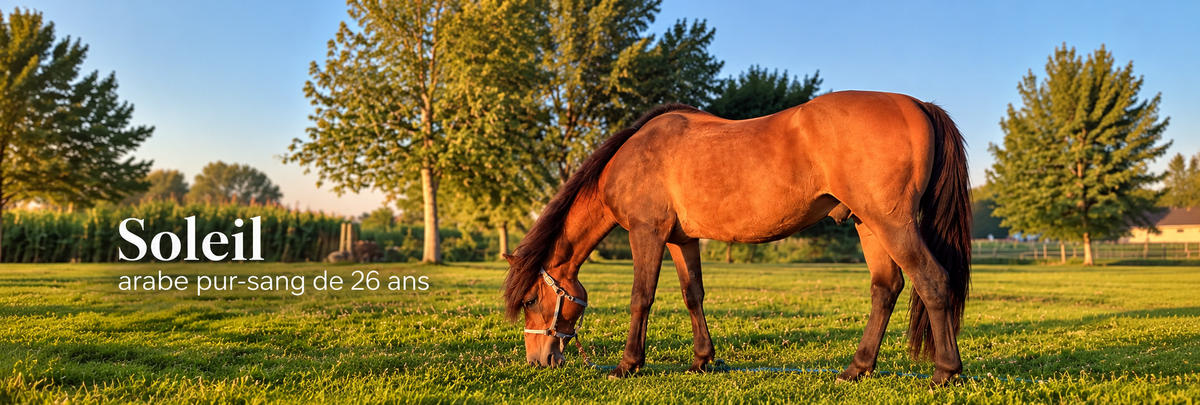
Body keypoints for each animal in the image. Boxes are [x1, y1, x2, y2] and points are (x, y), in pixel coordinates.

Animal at [502, 90, 972, 385]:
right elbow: (692, 294)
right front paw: (701, 360)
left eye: (531, 299)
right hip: (867, 224)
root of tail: (916, 105)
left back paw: (944, 372)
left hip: (892, 224)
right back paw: (857, 369)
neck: (636, 154)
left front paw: (628, 364)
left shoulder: (647, 233)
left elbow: (641, 297)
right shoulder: (681, 240)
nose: (539, 360)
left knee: (932, 282)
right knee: (885, 288)